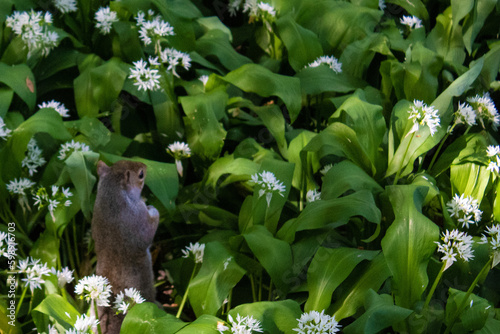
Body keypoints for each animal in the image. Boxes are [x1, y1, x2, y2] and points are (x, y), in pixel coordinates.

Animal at [91, 160, 158, 332]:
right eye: (140, 174)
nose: (145, 165)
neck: (111, 197)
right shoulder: (136, 217)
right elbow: (147, 232)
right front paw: (153, 209)